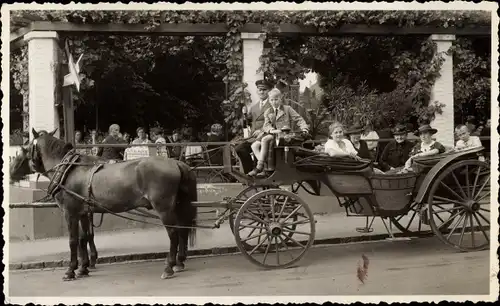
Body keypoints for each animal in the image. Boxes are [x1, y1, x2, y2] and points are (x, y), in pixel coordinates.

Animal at [9, 128, 197, 280]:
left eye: (24, 148)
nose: (11, 171)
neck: (68, 170)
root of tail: (175, 162)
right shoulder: (83, 213)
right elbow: (84, 238)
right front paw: (83, 268)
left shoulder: (70, 212)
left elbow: (73, 241)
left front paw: (70, 271)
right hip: (177, 205)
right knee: (182, 231)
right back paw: (178, 263)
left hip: (163, 208)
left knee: (173, 233)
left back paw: (169, 267)